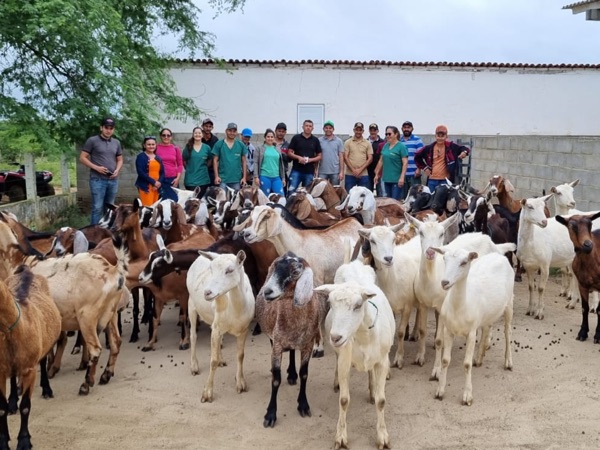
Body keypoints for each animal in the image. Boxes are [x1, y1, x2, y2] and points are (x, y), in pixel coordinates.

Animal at [0, 266, 61, 450]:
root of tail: (26, 270)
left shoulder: (29, 370)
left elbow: (26, 406)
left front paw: (24, 440)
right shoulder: (0, 370)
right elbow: (1, 408)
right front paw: (3, 441)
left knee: (43, 361)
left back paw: (47, 389)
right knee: (13, 377)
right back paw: (13, 400)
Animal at [186, 251, 254, 402]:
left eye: (230, 270)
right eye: (211, 269)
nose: (207, 293)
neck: (235, 309)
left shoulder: (243, 330)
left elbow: (240, 355)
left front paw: (241, 383)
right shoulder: (216, 328)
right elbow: (213, 361)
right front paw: (207, 393)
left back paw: (222, 360)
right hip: (191, 304)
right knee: (193, 336)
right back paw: (193, 366)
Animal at [316, 260, 396, 450]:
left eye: (358, 305)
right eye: (330, 304)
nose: (335, 337)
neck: (363, 336)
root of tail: (355, 263)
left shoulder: (383, 361)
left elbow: (381, 401)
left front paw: (383, 437)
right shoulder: (345, 361)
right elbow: (344, 400)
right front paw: (341, 437)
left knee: (370, 372)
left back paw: (372, 390)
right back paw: (337, 382)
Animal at [434, 248, 512, 406]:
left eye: (464, 262)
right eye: (444, 259)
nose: (445, 282)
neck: (459, 307)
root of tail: (499, 255)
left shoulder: (471, 333)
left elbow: (466, 364)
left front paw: (467, 395)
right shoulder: (448, 330)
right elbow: (445, 361)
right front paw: (440, 391)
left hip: (509, 303)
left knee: (507, 332)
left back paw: (508, 361)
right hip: (488, 312)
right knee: (487, 327)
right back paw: (480, 357)